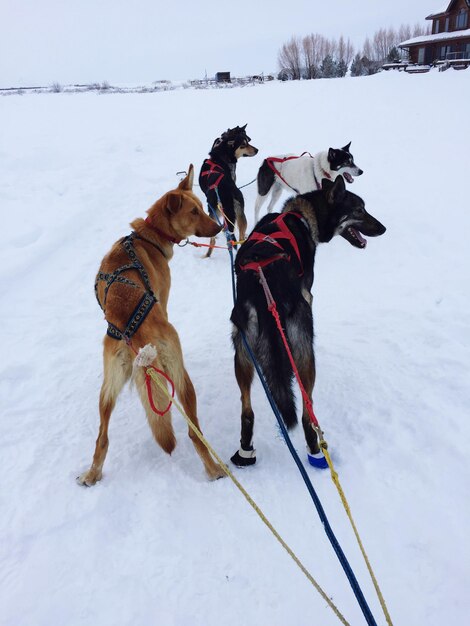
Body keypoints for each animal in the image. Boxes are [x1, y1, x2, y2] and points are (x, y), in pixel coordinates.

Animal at [78, 165, 225, 482]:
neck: (148, 237)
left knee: (102, 439)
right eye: (194, 211)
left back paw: (92, 475)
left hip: (106, 391)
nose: (219, 228)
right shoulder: (165, 302)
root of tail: (135, 335)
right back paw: (215, 470)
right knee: (195, 433)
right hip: (181, 377)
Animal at [197, 124, 258, 256]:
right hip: (240, 214)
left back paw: (207, 255)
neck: (219, 159)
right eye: (243, 144)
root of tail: (228, 192)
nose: (257, 150)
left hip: (213, 211)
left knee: (213, 241)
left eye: (247, 141)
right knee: (239, 238)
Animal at [230, 173, 386, 466]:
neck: (299, 216)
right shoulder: (309, 295)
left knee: (247, 411)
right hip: (304, 352)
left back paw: (245, 451)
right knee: (305, 411)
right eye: (359, 210)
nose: (383, 228)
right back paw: (316, 449)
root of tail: (264, 289)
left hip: (241, 352)